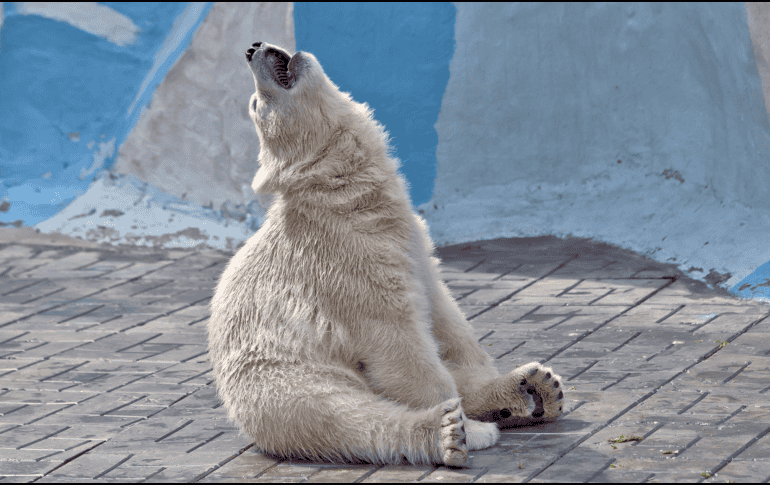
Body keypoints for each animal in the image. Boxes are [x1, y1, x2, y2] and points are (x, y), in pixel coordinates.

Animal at [207, 41, 564, 468]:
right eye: (257, 105)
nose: (253, 48)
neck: (350, 196)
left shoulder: (412, 243)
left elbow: (447, 321)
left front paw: (509, 389)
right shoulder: (345, 261)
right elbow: (398, 345)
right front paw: (469, 428)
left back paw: (534, 388)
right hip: (279, 377)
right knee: (338, 414)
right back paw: (446, 433)